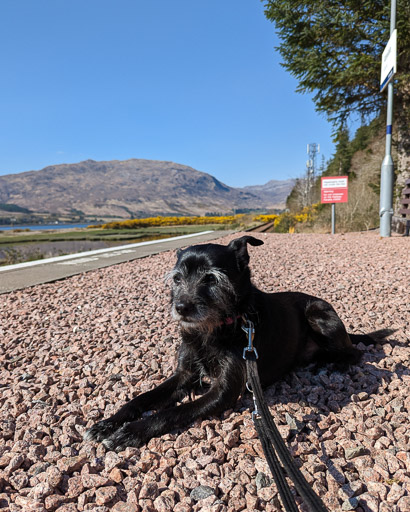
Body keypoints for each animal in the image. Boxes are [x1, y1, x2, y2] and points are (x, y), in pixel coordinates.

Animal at [85, 234, 374, 450]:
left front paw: (131, 432)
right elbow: (142, 398)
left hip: (317, 312)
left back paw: (334, 363)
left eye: (211, 278)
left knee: (354, 353)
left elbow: (171, 412)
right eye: (177, 278)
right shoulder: (184, 374)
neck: (214, 329)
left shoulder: (224, 392)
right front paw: (108, 424)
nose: (181, 308)